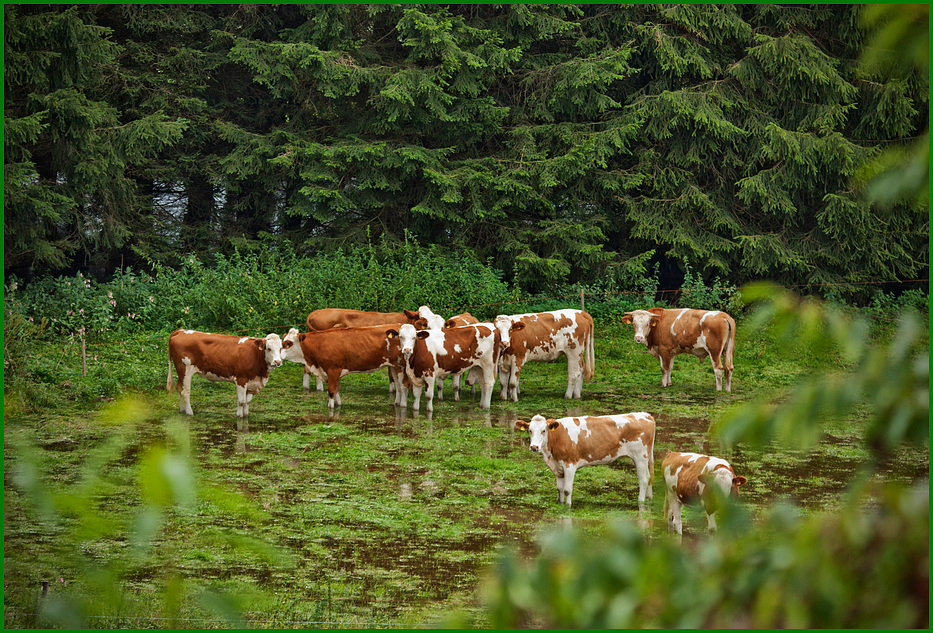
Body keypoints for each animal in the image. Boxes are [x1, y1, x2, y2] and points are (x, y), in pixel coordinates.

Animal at [510, 410, 656, 508]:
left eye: (544, 430)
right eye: (529, 430)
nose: (534, 447)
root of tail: (644, 415)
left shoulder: (570, 465)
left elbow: (567, 489)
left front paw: (567, 507)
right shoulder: (558, 467)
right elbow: (560, 489)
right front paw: (560, 502)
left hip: (640, 457)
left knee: (643, 479)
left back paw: (641, 501)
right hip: (645, 457)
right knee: (649, 477)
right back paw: (649, 498)